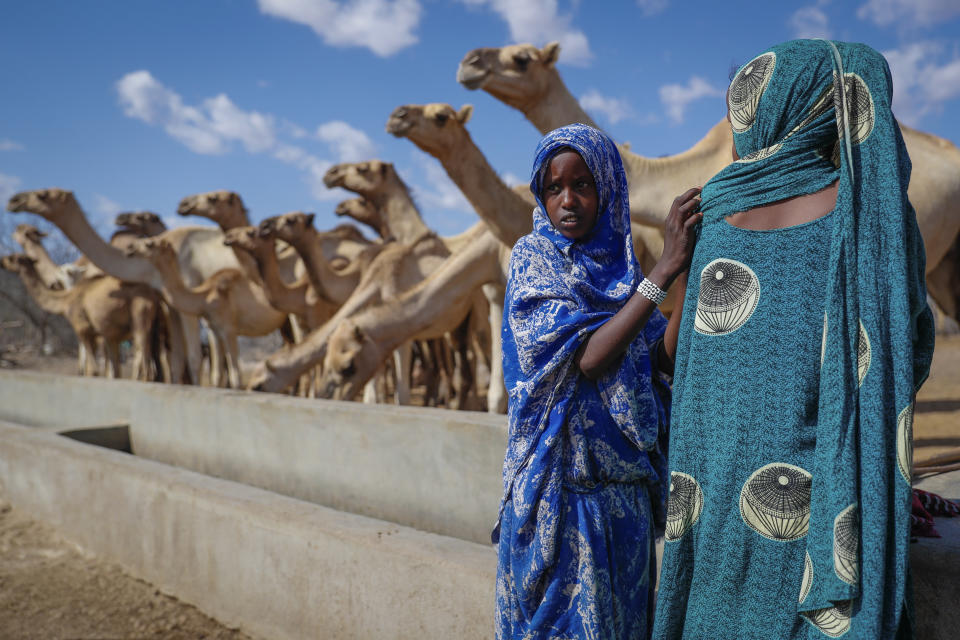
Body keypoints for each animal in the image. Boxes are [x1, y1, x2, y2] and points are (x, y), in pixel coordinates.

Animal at [0, 252, 159, 378]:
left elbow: (93, 370)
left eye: (11, 258)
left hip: (139, 320)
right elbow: (110, 370)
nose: (2, 260)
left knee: (144, 366)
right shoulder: (105, 336)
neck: (66, 300)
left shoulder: (83, 330)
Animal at [125, 236, 288, 390]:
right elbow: (216, 374)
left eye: (150, 243)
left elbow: (235, 375)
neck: (205, 297)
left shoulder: (228, 329)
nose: (130, 248)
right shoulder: (213, 330)